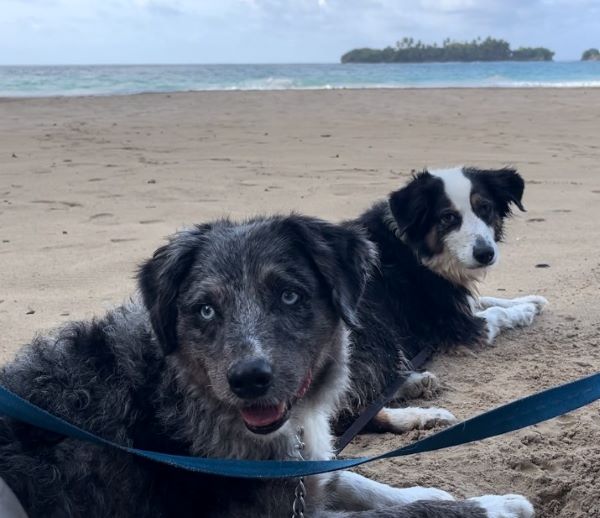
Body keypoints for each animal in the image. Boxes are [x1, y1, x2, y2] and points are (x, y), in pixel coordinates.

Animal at [0, 216, 536, 518]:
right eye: (205, 310)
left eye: (290, 295)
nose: (249, 380)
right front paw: (496, 506)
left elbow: (356, 480)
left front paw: (441, 490)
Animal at [338, 169, 548, 436]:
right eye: (448, 217)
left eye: (485, 208)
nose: (486, 254)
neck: (415, 246)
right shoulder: (460, 325)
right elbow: (496, 313)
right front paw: (525, 311)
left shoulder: (456, 302)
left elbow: (485, 300)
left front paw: (531, 301)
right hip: (372, 328)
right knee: (344, 417)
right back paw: (424, 416)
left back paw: (415, 382)